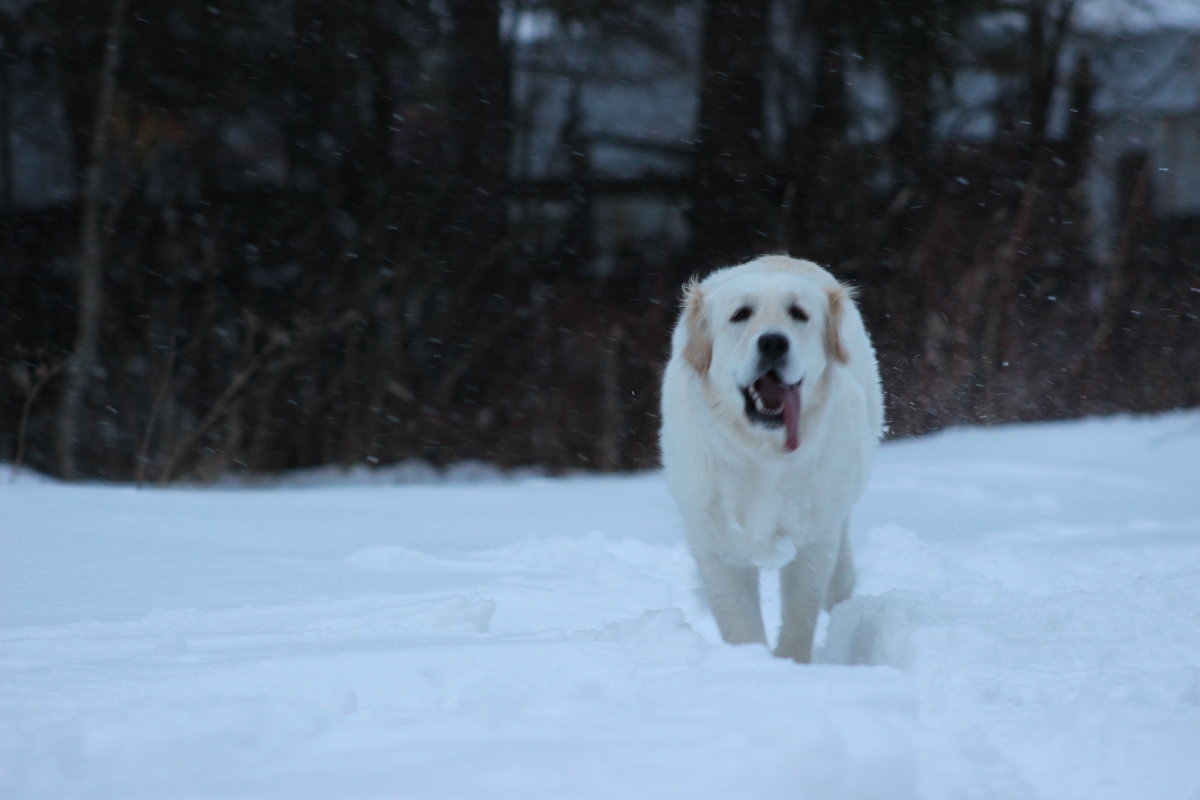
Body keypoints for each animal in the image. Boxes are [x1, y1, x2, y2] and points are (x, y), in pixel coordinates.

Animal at [657, 256, 883, 662]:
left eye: (799, 313)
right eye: (741, 314)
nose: (773, 341)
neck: (762, 456)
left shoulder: (814, 541)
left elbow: (800, 617)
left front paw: (788, 664)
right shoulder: (714, 544)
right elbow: (738, 621)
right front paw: (751, 664)